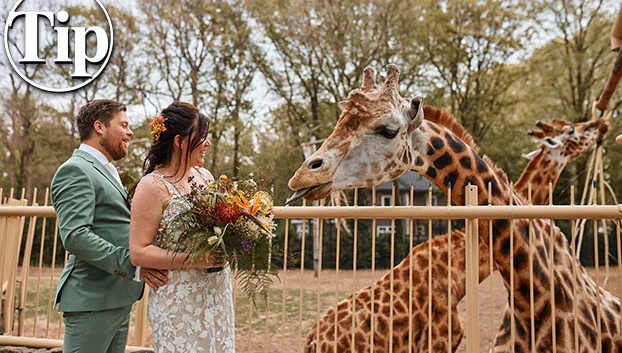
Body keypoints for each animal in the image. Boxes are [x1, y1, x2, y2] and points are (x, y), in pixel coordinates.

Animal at [290, 64, 620, 350]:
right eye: (572, 132)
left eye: (387, 129)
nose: (302, 176)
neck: (457, 275)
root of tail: (312, 341)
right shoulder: (440, 339)